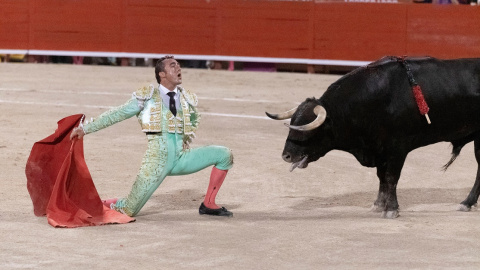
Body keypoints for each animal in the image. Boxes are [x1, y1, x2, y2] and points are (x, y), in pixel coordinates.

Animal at [268, 56, 480, 218]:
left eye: (307, 130)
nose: (286, 156)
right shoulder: (380, 149)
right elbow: (381, 177)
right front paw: (378, 205)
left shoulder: (397, 149)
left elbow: (392, 177)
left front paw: (391, 210)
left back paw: (466, 202)